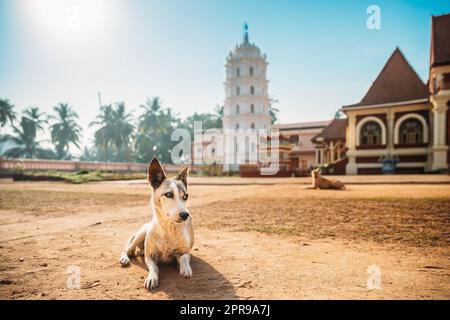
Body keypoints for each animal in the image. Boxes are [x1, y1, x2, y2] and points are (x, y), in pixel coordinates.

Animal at [120, 158, 194, 290]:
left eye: (185, 196)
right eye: (169, 194)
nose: (185, 215)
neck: (168, 228)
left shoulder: (184, 252)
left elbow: (184, 257)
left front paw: (185, 268)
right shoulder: (150, 257)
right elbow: (154, 268)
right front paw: (152, 278)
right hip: (141, 234)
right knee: (127, 249)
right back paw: (125, 258)